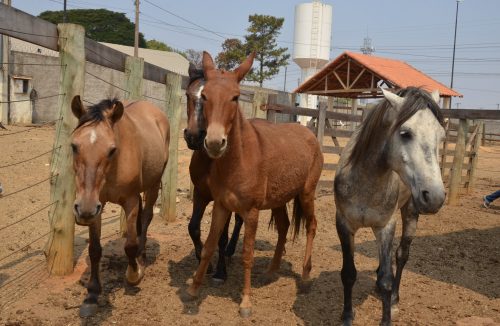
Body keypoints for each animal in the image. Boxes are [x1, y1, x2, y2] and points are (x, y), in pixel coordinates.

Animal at [69, 95, 170, 318]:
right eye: (74, 146)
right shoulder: (97, 205)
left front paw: (134, 273)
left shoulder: (129, 200)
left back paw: (142, 257)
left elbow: (130, 245)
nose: (83, 210)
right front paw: (92, 295)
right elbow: (94, 250)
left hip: (152, 185)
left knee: (146, 217)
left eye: (112, 149)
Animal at [184, 52, 324, 318]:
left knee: (311, 226)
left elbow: (247, 255)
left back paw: (305, 276)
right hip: (280, 199)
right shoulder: (220, 206)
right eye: (202, 96)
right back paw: (271, 270)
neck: (240, 158)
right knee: (284, 227)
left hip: (306, 194)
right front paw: (194, 289)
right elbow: (208, 245)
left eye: (236, 97)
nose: (213, 142)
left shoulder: (250, 212)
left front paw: (246, 303)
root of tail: (310, 134)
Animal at [336, 87, 446, 326]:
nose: (435, 197)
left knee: (401, 256)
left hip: (410, 213)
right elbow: (348, 273)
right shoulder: (344, 224)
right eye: (405, 133)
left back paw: (395, 297)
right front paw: (347, 316)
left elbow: (387, 279)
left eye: (441, 136)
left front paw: (387, 317)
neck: (365, 180)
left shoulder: (386, 226)